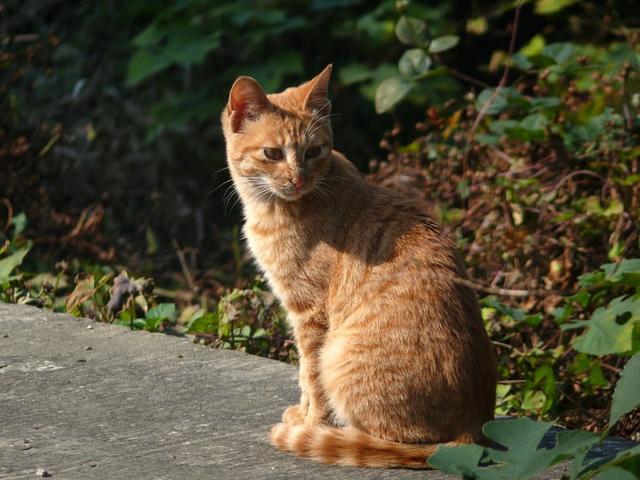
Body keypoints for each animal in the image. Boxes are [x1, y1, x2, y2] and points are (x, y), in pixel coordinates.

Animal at [222, 65, 498, 466]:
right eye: (272, 153)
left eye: (314, 151)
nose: (298, 178)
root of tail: (473, 430)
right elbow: (304, 377)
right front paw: (303, 415)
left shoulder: (309, 315)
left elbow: (309, 374)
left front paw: (311, 423)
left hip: (339, 356)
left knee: (395, 439)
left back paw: (337, 435)